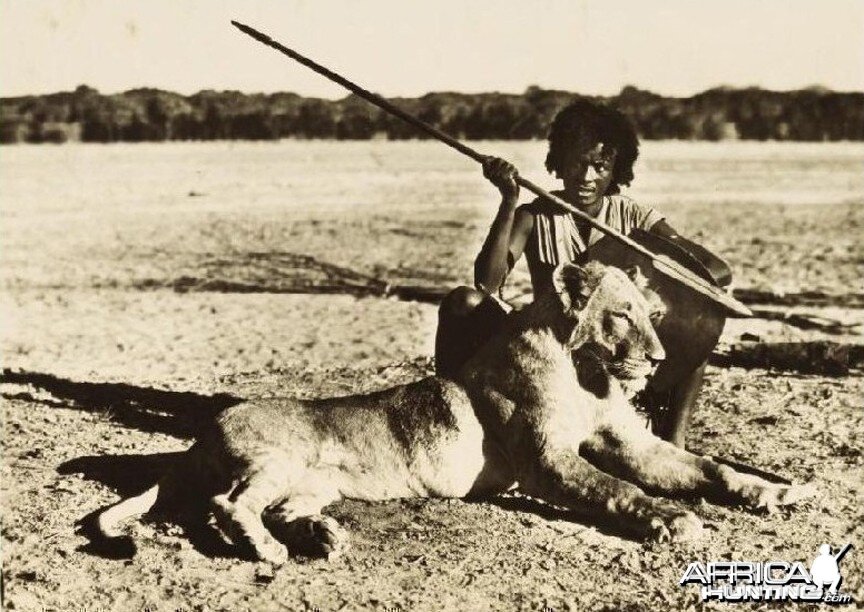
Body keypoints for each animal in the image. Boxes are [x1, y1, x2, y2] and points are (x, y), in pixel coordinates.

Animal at [91, 260, 812, 560]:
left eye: (653, 315)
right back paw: (270, 551)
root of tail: (200, 434)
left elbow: (706, 467)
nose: (660, 359)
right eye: (620, 316)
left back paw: (321, 537)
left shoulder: (629, 441)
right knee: (227, 504)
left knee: (277, 508)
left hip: (312, 482)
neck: (588, 375)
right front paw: (672, 520)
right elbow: (615, 489)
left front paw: (772, 491)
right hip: (275, 460)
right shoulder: (546, 461)